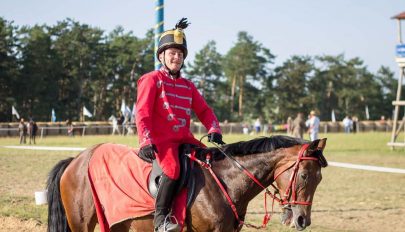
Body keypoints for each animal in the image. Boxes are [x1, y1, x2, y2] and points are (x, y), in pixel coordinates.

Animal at [47, 135, 326, 231]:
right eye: (304, 175)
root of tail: (77, 159)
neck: (225, 180)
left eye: (319, 178)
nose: (303, 220)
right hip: (81, 224)